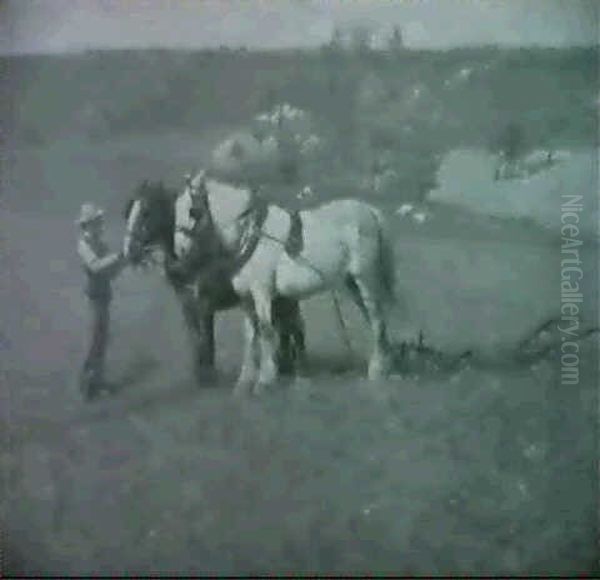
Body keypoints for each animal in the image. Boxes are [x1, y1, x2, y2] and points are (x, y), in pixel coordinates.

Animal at [123, 179, 308, 382]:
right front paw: (200, 371)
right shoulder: (187, 304)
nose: (129, 251)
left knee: (292, 324)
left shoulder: (204, 303)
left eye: (146, 212)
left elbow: (206, 337)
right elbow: (195, 336)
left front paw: (208, 373)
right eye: (128, 210)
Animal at [175, 172, 398, 394]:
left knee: (377, 320)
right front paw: (244, 382)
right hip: (351, 283)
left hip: (365, 279)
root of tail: (370, 211)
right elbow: (250, 336)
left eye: (192, 211)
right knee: (373, 320)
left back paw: (376, 370)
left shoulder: (262, 292)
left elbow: (265, 331)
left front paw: (265, 380)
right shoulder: (246, 298)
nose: (180, 251)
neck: (250, 233)